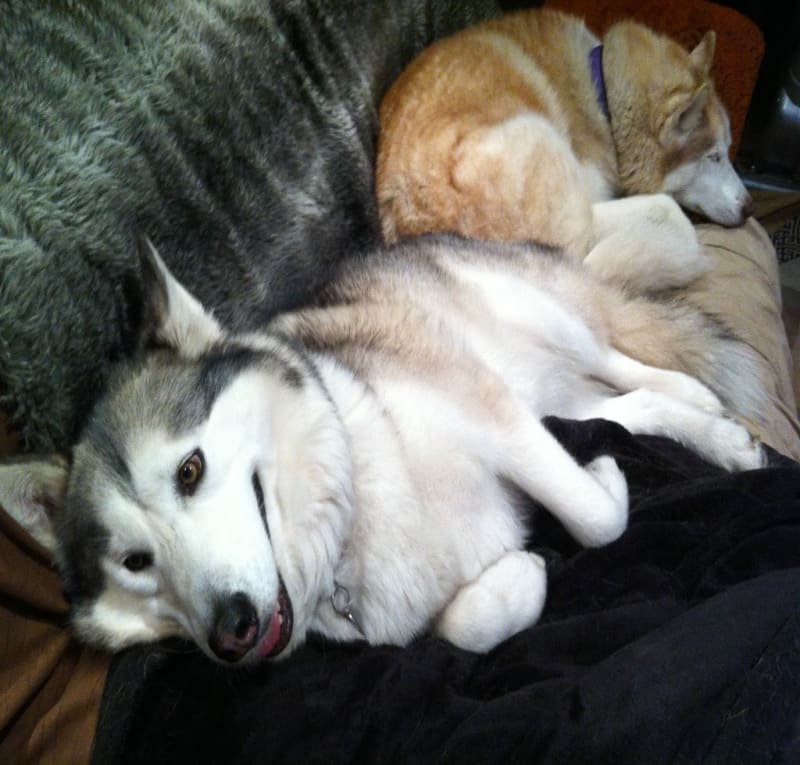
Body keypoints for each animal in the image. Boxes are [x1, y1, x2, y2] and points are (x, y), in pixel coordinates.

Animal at [0, 234, 765, 664]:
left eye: (190, 469)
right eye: (135, 562)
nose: (232, 633)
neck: (347, 519)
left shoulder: (493, 416)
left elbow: (597, 519)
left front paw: (606, 476)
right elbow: (463, 627)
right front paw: (519, 578)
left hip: (540, 323)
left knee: (630, 362)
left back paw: (706, 410)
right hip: (550, 396)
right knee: (621, 407)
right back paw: (701, 428)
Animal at [376, 8, 754, 291]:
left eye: (727, 150)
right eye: (712, 157)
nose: (750, 208)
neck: (605, 101)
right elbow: (665, 207)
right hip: (545, 151)